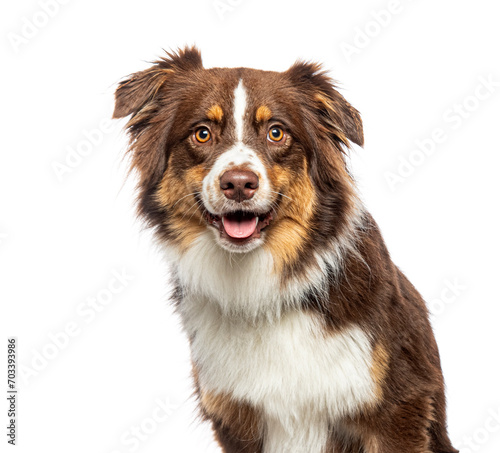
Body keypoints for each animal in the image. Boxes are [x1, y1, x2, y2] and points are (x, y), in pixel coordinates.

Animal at [113, 47, 458, 450]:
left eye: (276, 132)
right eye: (202, 133)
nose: (239, 183)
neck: (261, 288)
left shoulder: (398, 406)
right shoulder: (236, 418)